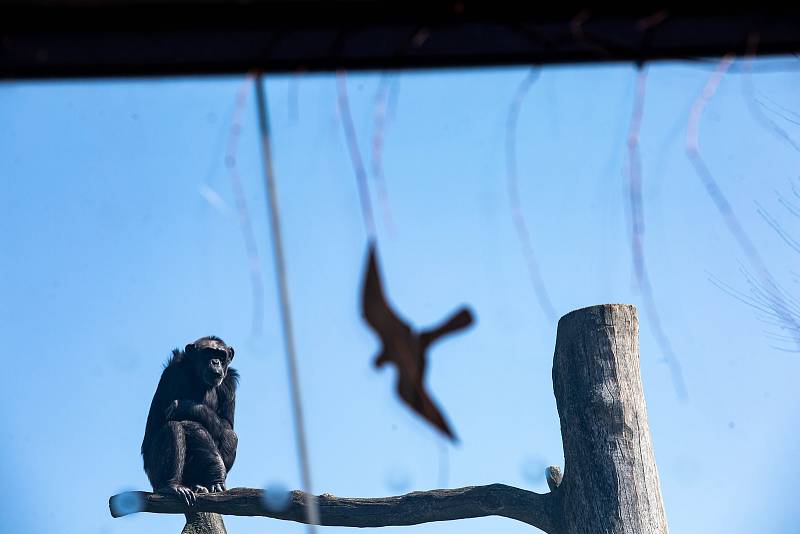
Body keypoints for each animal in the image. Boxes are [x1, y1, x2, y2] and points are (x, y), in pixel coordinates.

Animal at [142, 338, 239, 508]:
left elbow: (227, 424)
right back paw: (172, 486)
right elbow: (187, 422)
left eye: (220, 354)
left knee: (230, 435)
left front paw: (185, 405)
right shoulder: (176, 375)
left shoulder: (229, 382)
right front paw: (217, 470)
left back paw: (200, 485)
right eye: (208, 352)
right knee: (173, 427)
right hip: (153, 474)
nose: (215, 362)